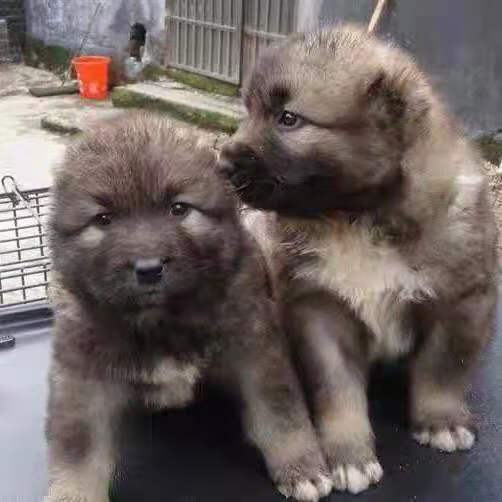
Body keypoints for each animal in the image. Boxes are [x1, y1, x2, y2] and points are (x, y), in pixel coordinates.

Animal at [44, 113, 334, 502]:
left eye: (178, 209)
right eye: (103, 220)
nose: (149, 268)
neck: (163, 319)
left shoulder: (254, 351)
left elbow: (280, 412)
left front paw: (301, 465)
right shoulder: (82, 376)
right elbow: (79, 446)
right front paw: (73, 492)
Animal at [220, 24, 498, 494]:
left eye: (288, 118)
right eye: (248, 111)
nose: (221, 164)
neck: (355, 217)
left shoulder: (460, 301)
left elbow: (442, 368)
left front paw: (440, 420)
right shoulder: (319, 311)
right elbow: (337, 392)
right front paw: (348, 455)